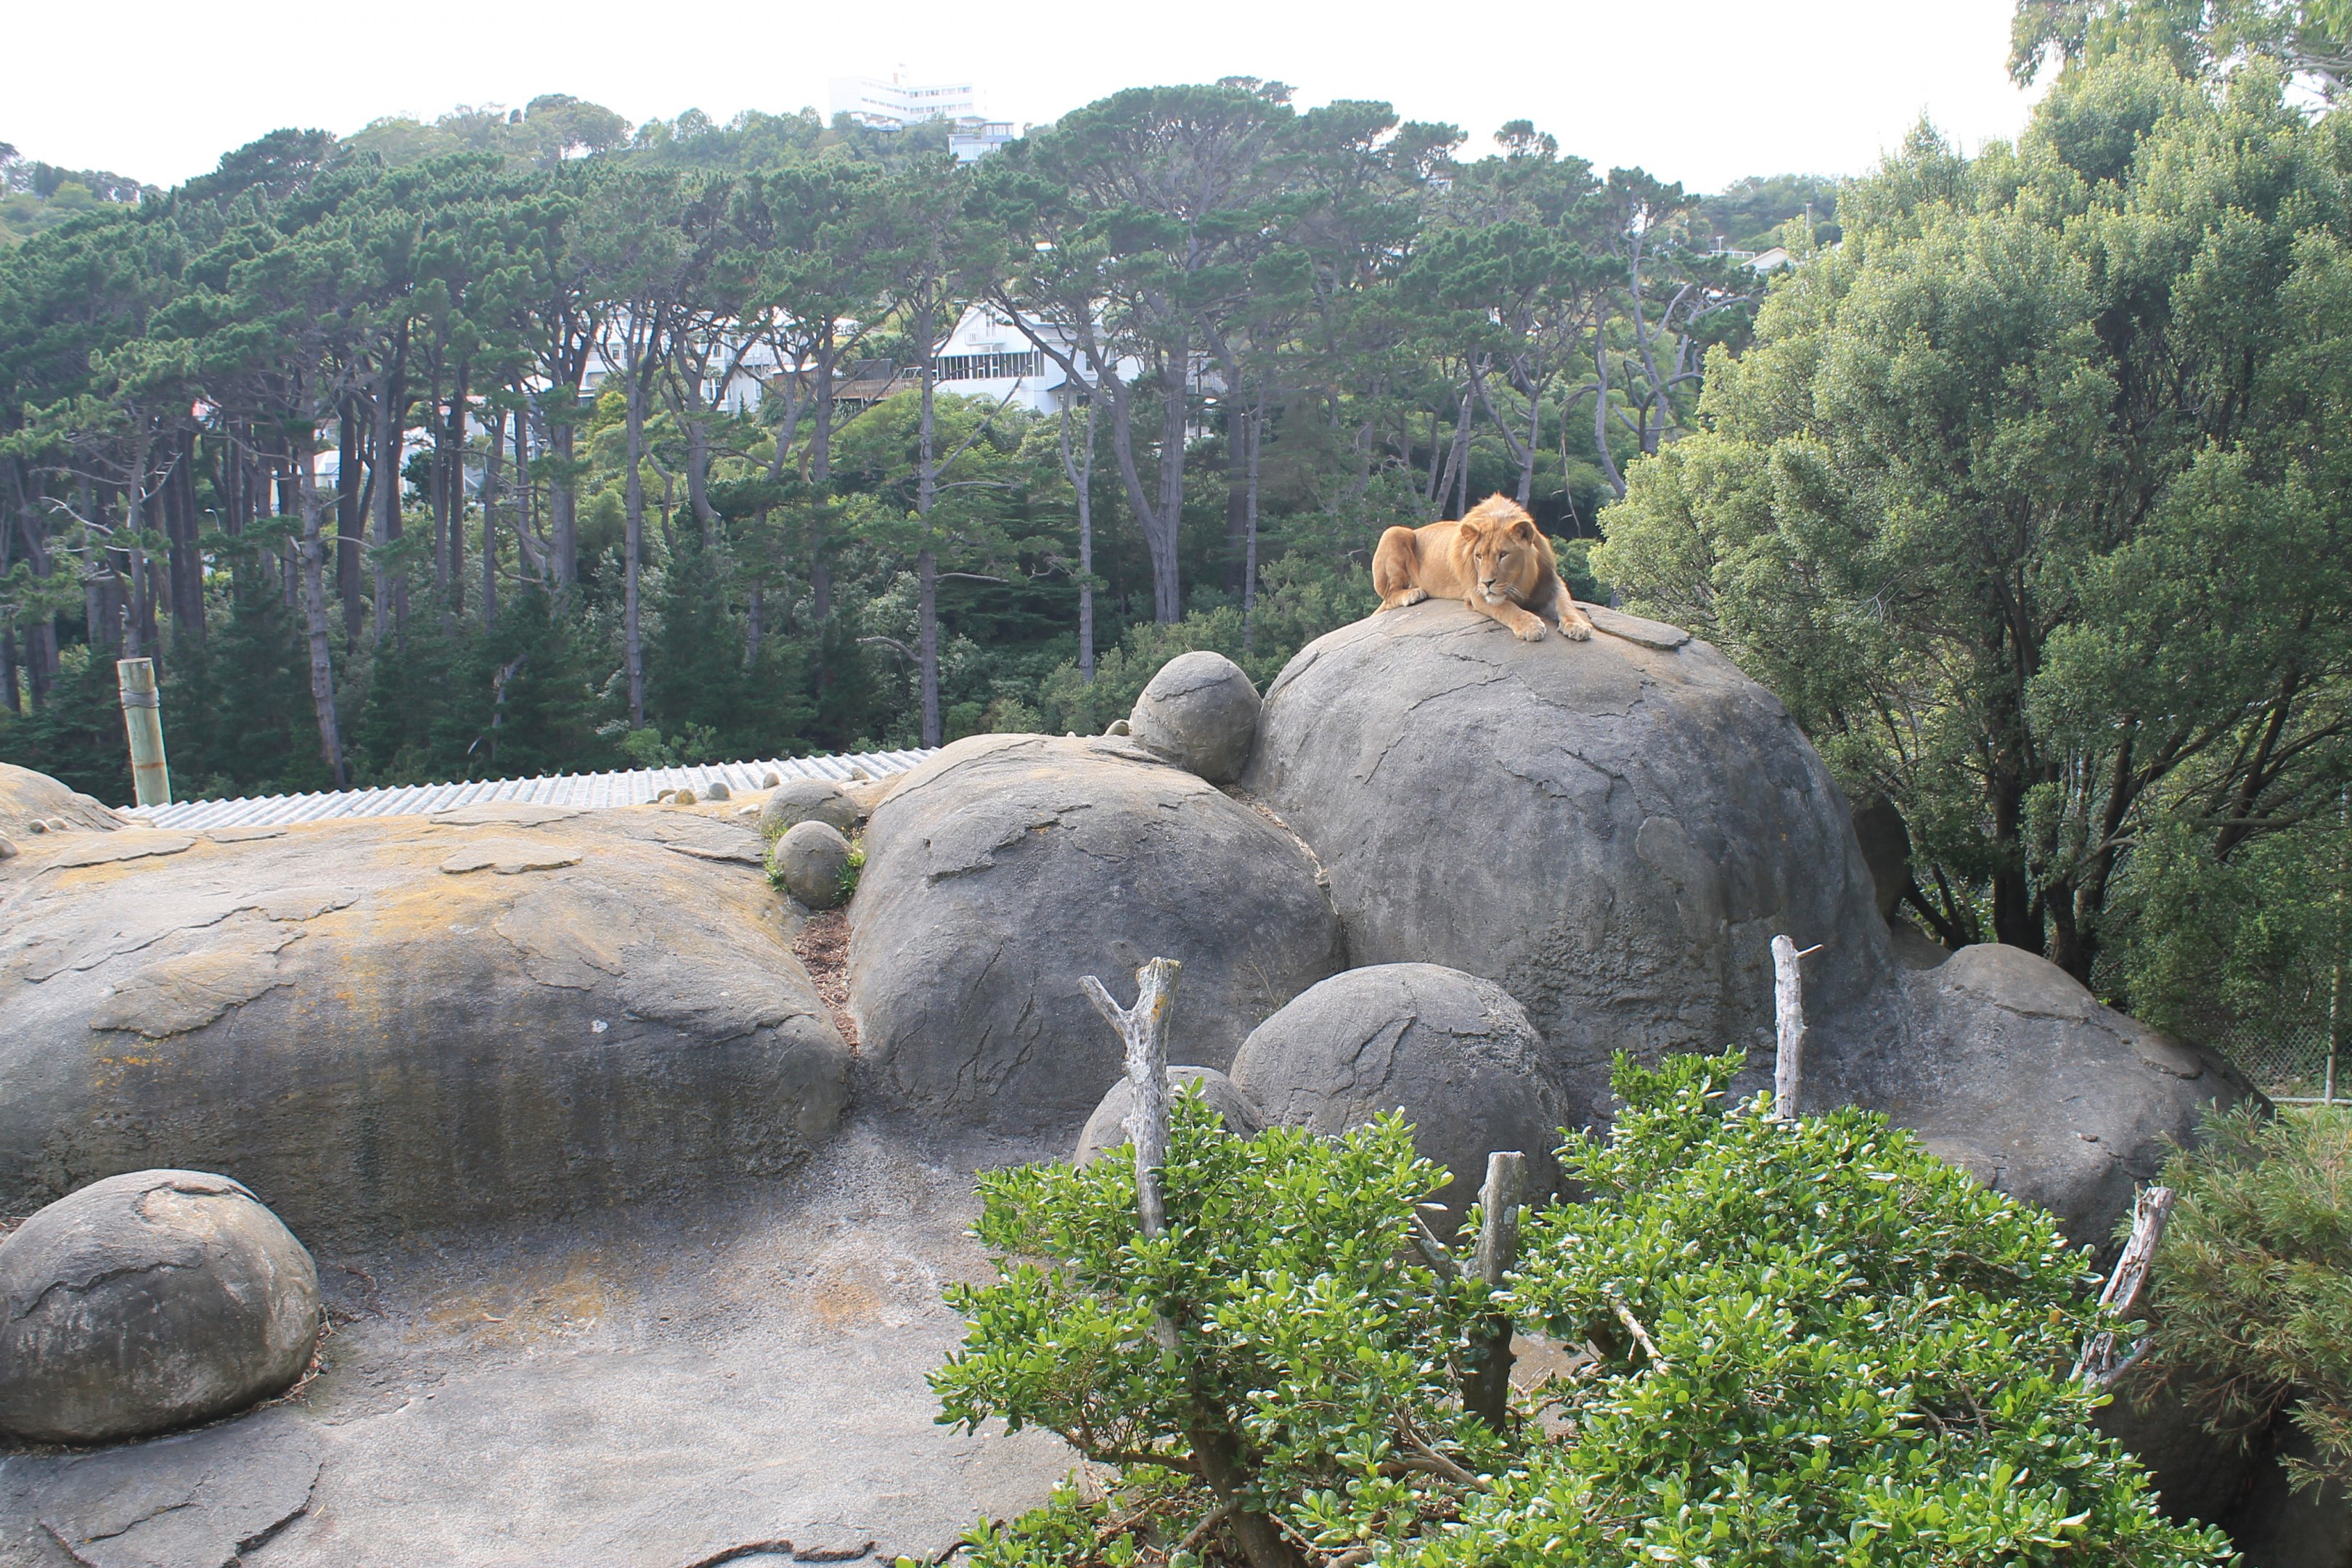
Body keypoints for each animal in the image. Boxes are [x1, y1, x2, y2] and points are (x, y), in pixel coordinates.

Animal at [1371, 495, 1594, 642]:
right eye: (1479, 556)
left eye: (1503, 555)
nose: (1487, 583)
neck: (1519, 580)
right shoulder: (1477, 593)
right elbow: (1505, 607)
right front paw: (1529, 625)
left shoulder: (1551, 582)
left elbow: (1565, 603)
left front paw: (1578, 625)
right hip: (1394, 532)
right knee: (1390, 595)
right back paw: (1412, 594)